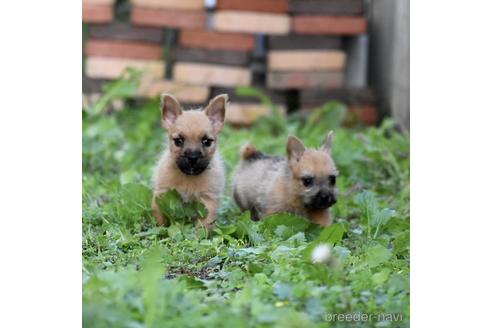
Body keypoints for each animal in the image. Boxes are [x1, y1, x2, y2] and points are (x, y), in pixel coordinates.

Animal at [151, 93, 228, 229]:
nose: (193, 158)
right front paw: (159, 231)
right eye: (178, 141)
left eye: (207, 141)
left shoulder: (207, 201)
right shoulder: (162, 195)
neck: (188, 178)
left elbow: (203, 225)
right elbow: (160, 219)